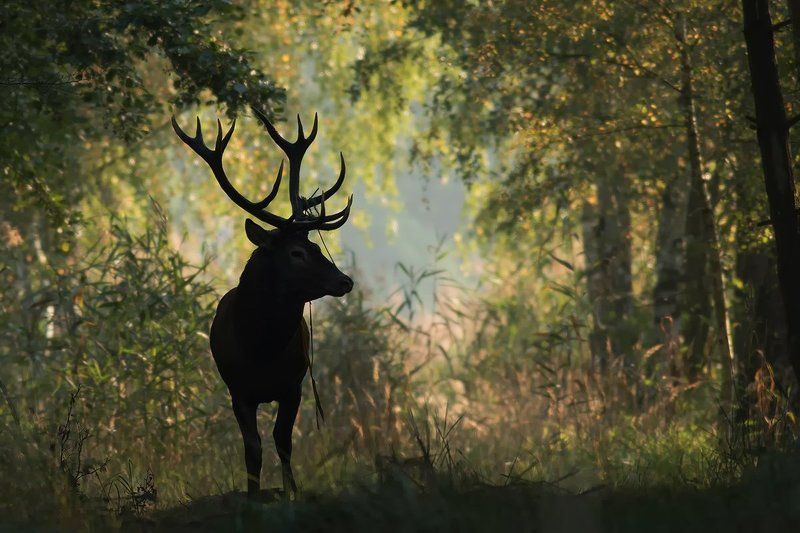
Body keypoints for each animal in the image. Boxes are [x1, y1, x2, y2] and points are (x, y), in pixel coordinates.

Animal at [171, 108, 354, 499]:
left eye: (315, 246)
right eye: (297, 252)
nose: (345, 280)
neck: (260, 349)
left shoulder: (293, 386)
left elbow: (283, 442)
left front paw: (290, 494)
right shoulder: (238, 390)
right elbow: (252, 450)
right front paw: (253, 496)